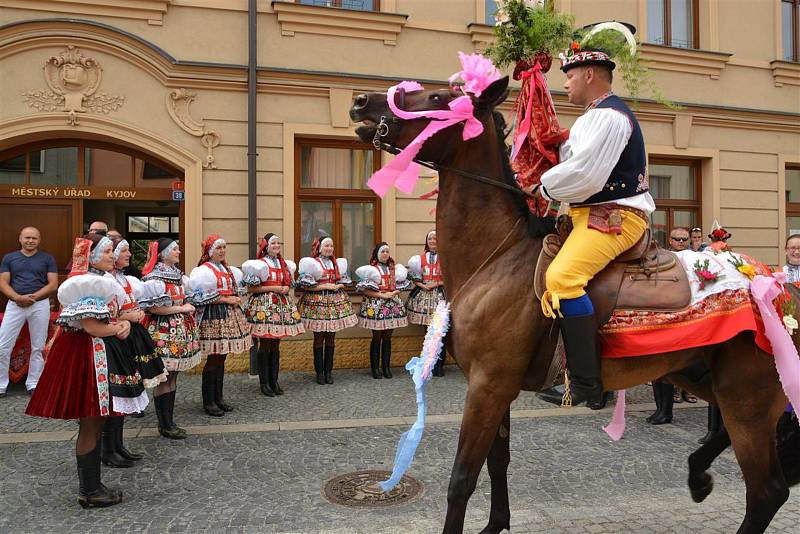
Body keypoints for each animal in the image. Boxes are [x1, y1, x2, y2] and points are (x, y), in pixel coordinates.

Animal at [350, 75, 800, 534]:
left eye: (439, 98)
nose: (362, 101)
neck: (497, 257)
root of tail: (777, 288)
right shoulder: (495, 387)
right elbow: (498, 462)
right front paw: (496, 524)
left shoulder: (488, 385)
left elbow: (463, 477)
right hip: (705, 378)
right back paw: (697, 472)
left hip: (745, 398)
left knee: (767, 490)